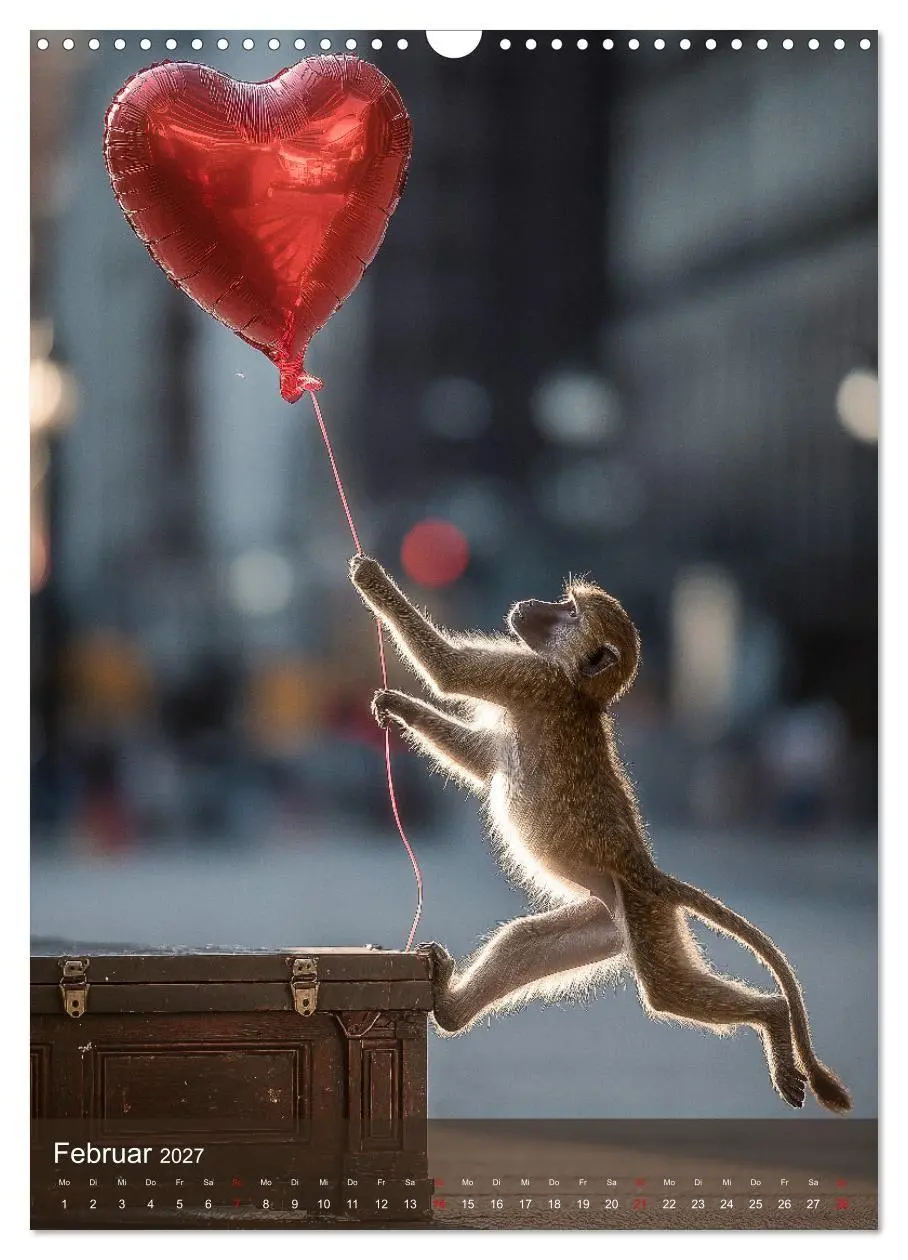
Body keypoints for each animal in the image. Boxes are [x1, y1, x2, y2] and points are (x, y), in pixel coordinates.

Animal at [348, 553, 852, 1114]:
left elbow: (449, 670)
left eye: (569, 610)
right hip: (609, 919)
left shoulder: (528, 677)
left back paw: (772, 1015)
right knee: (524, 941)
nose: (528, 604)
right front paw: (401, 708)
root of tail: (649, 873)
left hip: (643, 914)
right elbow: (485, 762)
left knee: (666, 990)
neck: (573, 684)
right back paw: (450, 1009)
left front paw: (370, 578)